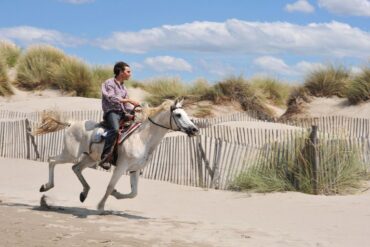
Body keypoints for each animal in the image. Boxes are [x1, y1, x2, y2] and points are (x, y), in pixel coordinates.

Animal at [36, 99, 199, 211]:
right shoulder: (121, 167)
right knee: (52, 160)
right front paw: (101, 206)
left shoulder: (134, 170)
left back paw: (84, 193)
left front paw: (116, 194)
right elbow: (110, 186)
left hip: (90, 158)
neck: (142, 138)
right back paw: (46, 186)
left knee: (76, 168)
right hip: (69, 154)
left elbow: (133, 193)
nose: (195, 130)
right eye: (178, 115)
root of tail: (71, 123)